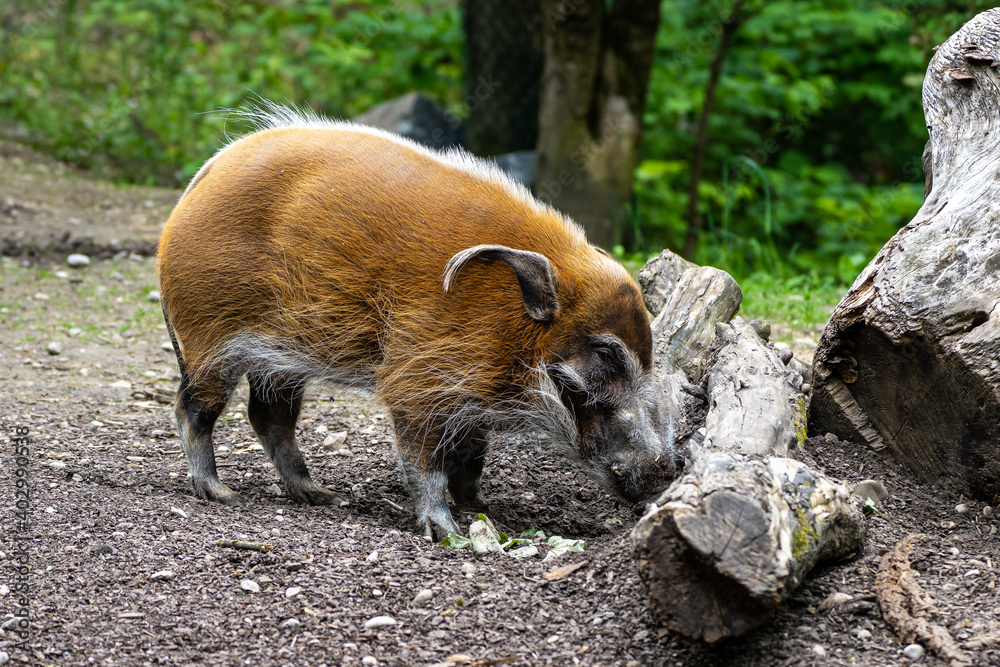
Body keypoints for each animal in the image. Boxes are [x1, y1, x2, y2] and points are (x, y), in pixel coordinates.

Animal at [157, 103, 674, 539]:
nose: (660, 474)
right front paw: (447, 531)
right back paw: (218, 491)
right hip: (208, 338)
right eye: (605, 353)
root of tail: (199, 182)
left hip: (280, 358)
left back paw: (322, 495)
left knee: (269, 417)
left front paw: (481, 508)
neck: (514, 326)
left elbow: (472, 456)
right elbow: (423, 457)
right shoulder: (419, 379)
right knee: (193, 407)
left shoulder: (471, 396)